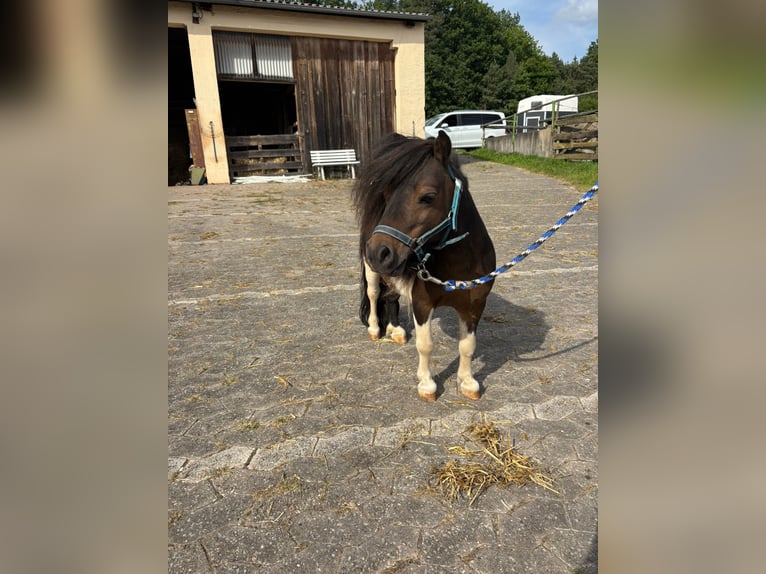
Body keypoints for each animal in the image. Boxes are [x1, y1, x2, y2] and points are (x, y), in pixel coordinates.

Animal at [352, 131, 496, 402]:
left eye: (427, 197)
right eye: (387, 194)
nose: (378, 251)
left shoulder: (474, 305)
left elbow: (467, 346)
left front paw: (468, 382)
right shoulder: (422, 303)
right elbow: (425, 345)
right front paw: (427, 384)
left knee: (390, 296)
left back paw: (396, 330)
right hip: (373, 269)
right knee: (374, 294)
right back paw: (376, 329)